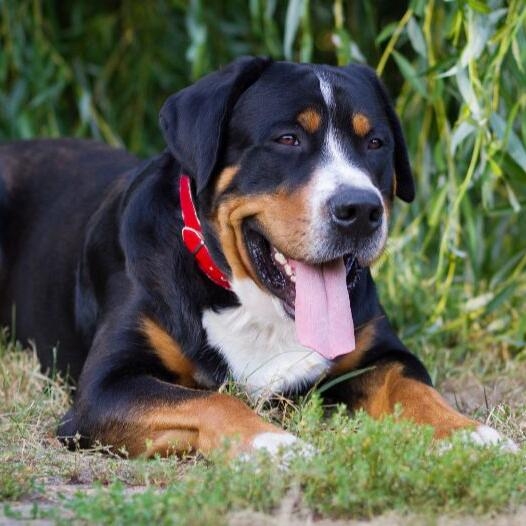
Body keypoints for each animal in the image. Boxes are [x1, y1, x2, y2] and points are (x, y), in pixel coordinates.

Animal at [0, 57, 516, 460]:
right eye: (287, 139)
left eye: (375, 143)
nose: (360, 210)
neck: (253, 304)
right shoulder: (105, 387)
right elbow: (212, 401)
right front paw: (275, 444)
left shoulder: (381, 353)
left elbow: (414, 389)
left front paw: (475, 436)